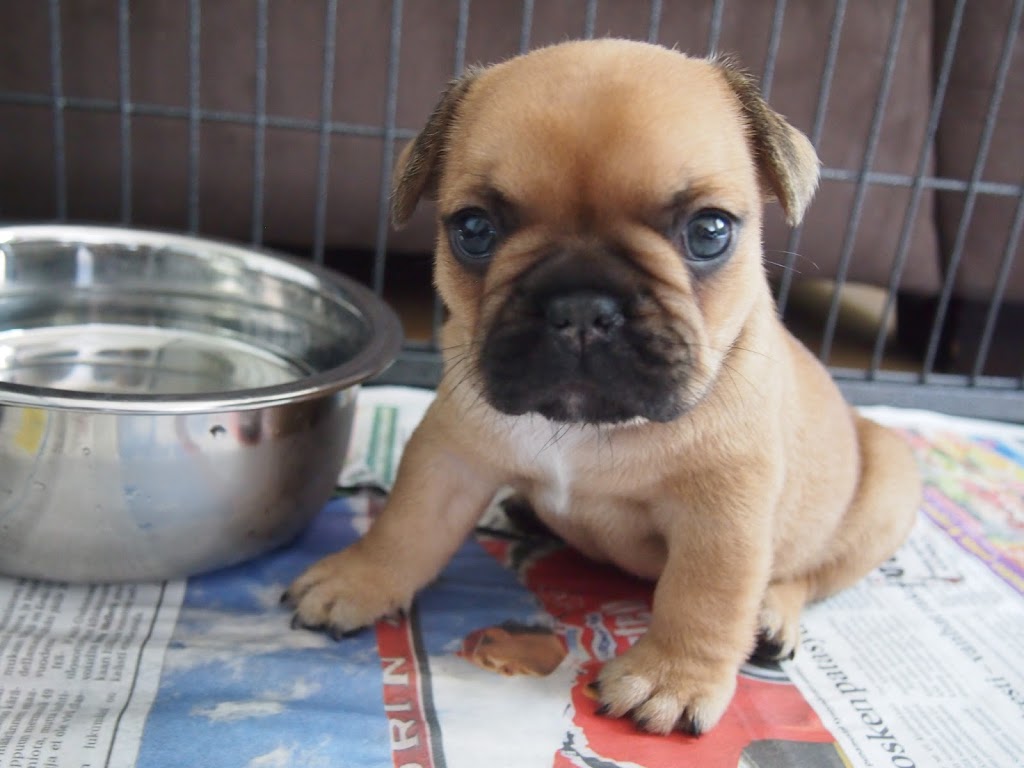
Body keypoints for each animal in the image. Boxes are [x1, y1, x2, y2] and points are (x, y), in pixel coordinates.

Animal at [283, 39, 921, 736]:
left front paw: (671, 678)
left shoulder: (725, 511)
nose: (582, 307)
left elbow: (704, 595)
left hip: (887, 492)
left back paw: (772, 616)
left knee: (811, 573)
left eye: (710, 232)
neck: (588, 428)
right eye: (473, 230)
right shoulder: (448, 454)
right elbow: (407, 523)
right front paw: (358, 580)